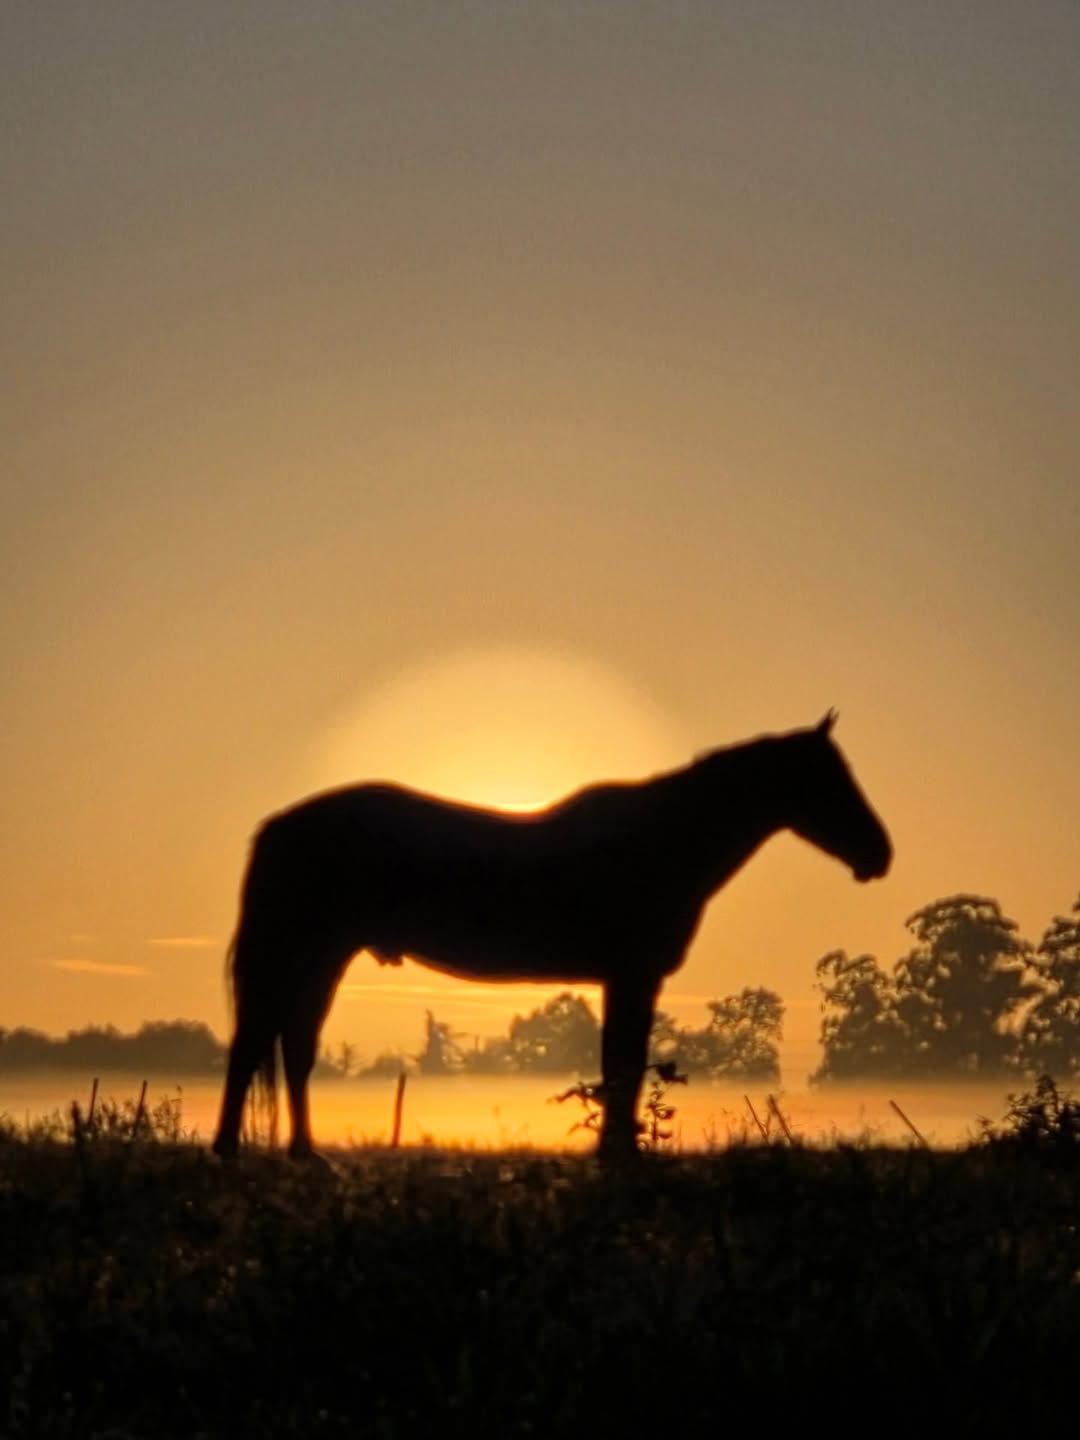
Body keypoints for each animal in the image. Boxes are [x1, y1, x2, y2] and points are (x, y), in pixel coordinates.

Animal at [211, 711, 891, 1160]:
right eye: (829, 779)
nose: (879, 855)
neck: (662, 839)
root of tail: (279, 825)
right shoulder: (632, 975)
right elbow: (623, 1065)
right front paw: (618, 1155)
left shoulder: (626, 978)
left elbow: (621, 1065)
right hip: (301, 951)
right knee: (258, 1044)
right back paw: (231, 1151)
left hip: (321, 955)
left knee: (293, 1046)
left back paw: (304, 1154)